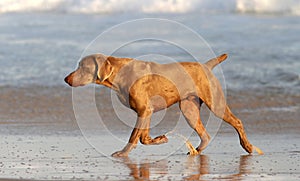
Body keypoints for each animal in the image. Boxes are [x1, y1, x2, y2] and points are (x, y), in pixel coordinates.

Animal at [63, 53, 262, 156]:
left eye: (83, 67)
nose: (66, 79)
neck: (120, 74)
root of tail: (206, 65)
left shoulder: (144, 110)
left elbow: (134, 136)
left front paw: (123, 153)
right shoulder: (146, 111)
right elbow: (143, 137)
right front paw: (159, 139)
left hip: (216, 103)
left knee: (237, 122)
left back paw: (248, 146)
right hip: (189, 109)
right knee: (205, 135)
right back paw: (196, 151)